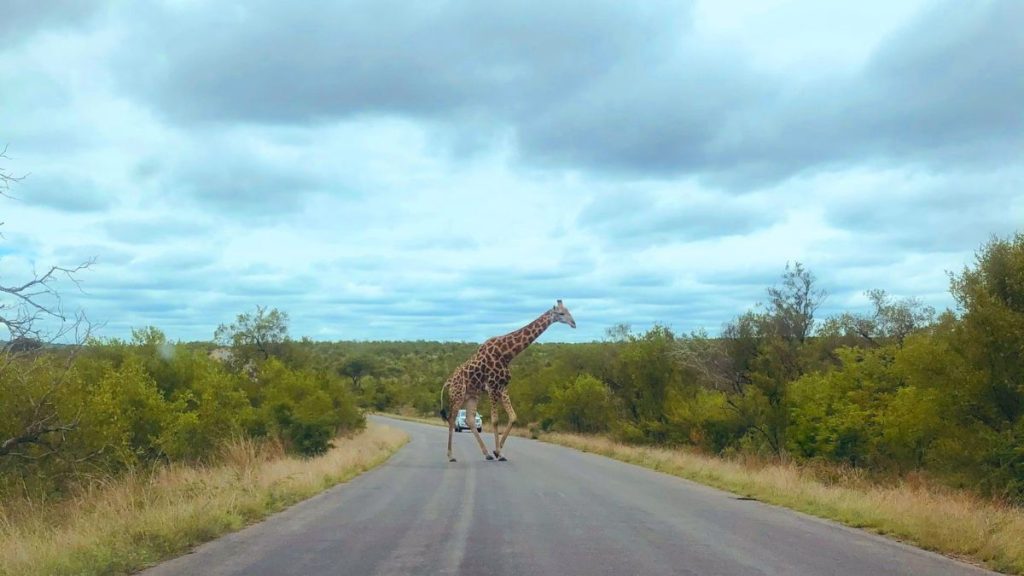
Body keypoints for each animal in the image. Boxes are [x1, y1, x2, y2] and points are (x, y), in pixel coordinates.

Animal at [438, 297, 573, 459]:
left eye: (569, 311)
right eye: (561, 313)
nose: (573, 323)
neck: (506, 354)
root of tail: (448, 381)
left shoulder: (503, 387)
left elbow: (513, 417)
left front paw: (497, 451)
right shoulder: (492, 387)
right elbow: (495, 420)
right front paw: (499, 453)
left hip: (472, 395)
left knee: (469, 420)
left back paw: (486, 453)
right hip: (457, 395)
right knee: (452, 419)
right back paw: (451, 455)